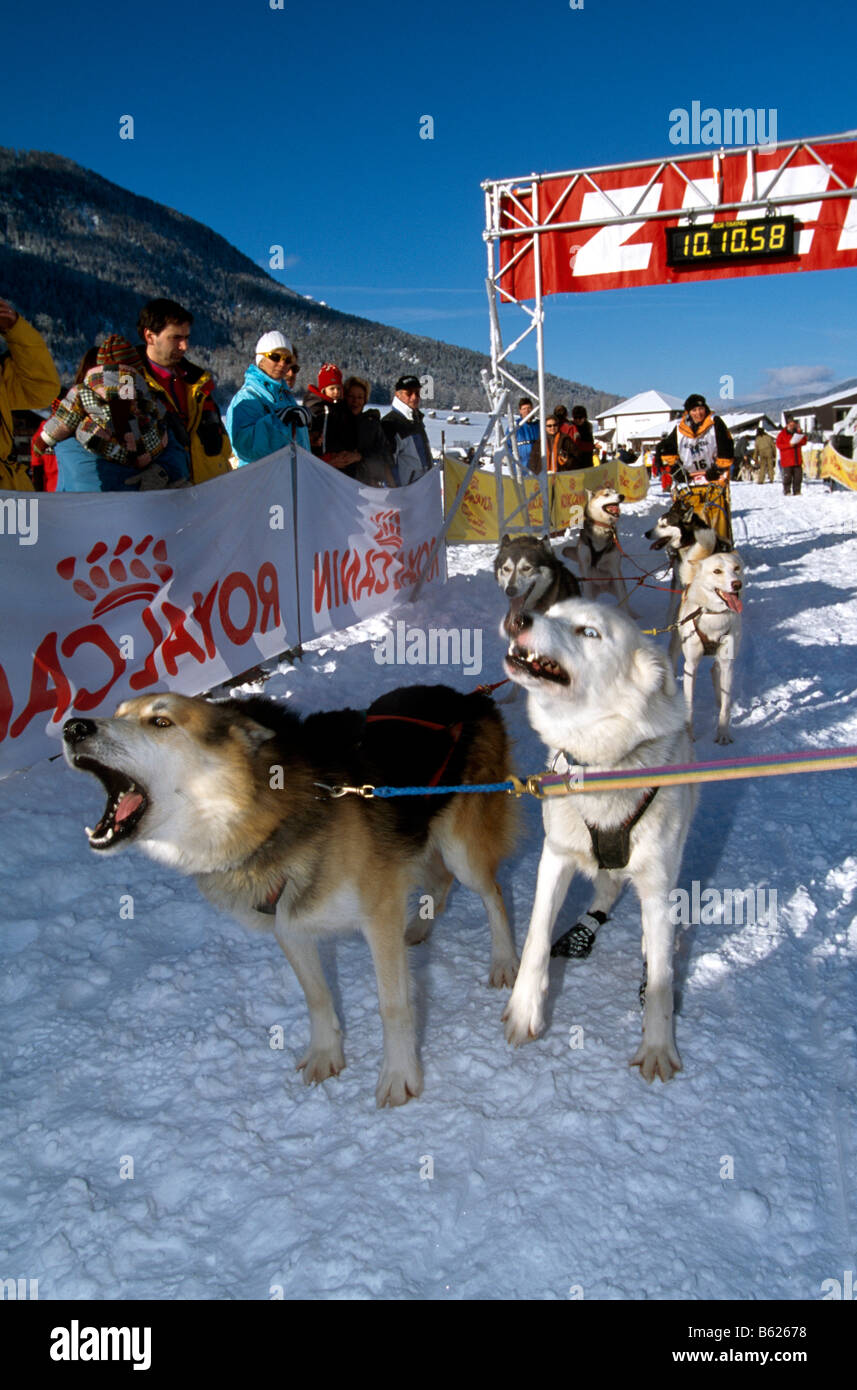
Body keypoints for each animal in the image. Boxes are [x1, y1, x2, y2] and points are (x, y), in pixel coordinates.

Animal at [63, 689, 516, 1112]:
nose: (73, 727)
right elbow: (316, 996)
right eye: (118, 713)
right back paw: (421, 925)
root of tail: (467, 697)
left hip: (460, 849)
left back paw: (505, 961)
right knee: (439, 880)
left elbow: (393, 1004)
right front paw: (326, 1054)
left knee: (492, 894)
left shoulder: (379, 915)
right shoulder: (289, 923)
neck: (266, 818)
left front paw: (399, 1075)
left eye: (160, 721)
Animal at [500, 597, 694, 1084]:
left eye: (589, 632)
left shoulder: (657, 881)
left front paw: (657, 1045)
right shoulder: (554, 858)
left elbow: (661, 981)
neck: (601, 763)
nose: (517, 616)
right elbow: (534, 938)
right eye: (550, 612)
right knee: (605, 888)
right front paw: (524, 1009)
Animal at [675, 539, 744, 745]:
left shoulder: (728, 664)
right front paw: (688, 735)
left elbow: (726, 707)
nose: (737, 584)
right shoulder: (690, 666)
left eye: (736, 568)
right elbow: (689, 705)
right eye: (717, 571)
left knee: (715, 670)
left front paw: (723, 733)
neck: (713, 616)